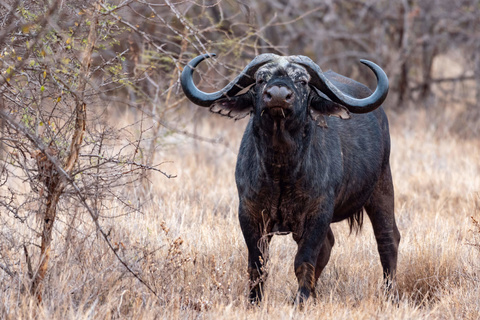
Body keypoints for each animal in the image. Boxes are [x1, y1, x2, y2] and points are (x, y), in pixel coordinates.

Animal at [179, 53, 398, 304]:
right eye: (260, 79)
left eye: (302, 81)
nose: (278, 95)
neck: (281, 170)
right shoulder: (249, 212)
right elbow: (257, 264)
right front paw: (255, 301)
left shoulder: (318, 213)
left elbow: (303, 261)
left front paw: (300, 301)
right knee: (329, 245)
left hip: (382, 186)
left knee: (388, 239)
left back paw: (390, 295)